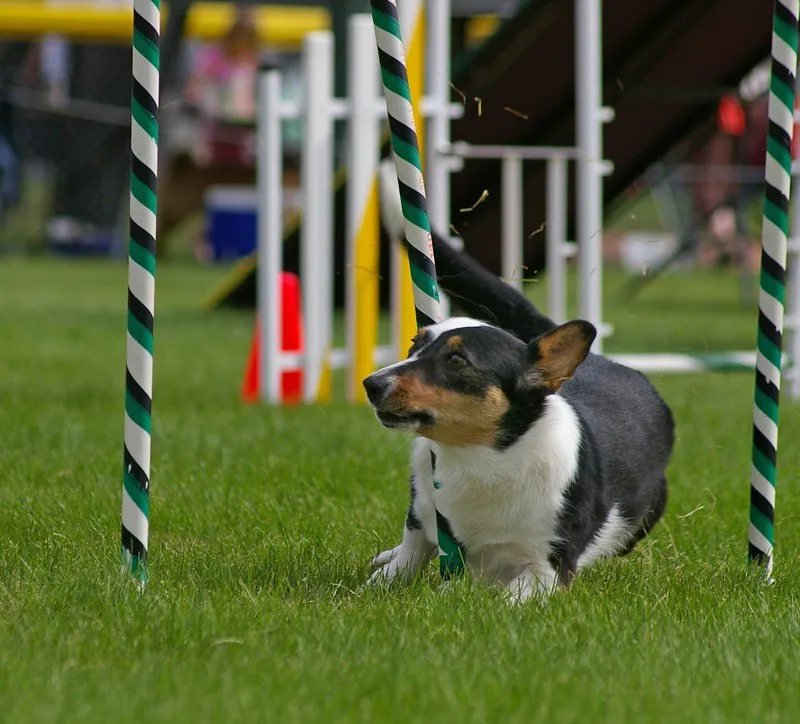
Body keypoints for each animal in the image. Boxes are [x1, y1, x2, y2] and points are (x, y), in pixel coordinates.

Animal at [368, 163, 676, 600]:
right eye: (415, 346)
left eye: (457, 360)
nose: (371, 384)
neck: (480, 459)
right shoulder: (421, 522)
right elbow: (403, 560)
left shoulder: (546, 569)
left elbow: (508, 597)